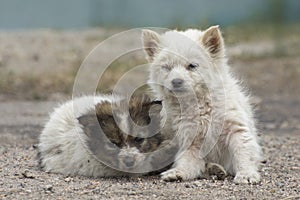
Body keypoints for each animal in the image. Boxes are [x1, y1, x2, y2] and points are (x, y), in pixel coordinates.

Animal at [142, 25, 262, 184]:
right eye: (166, 67)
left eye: (192, 66)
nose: (176, 81)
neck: (200, 104)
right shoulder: (191, 139)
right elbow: (186, 160)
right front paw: (178, 172)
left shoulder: (236, 129)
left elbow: (243, 151)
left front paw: (247, 174)